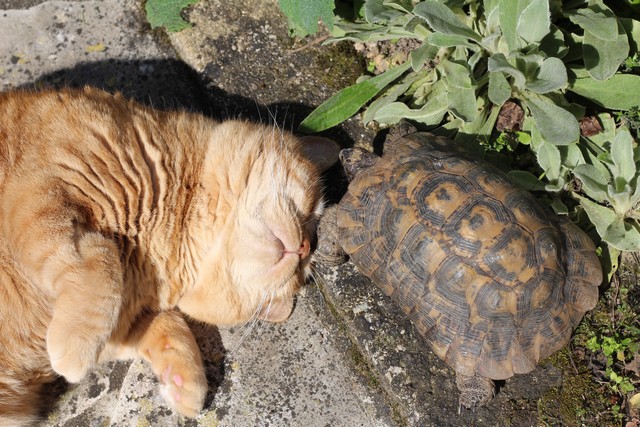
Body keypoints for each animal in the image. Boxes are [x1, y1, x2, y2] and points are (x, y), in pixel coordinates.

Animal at [0, 86, 330, 424]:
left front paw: (184, 380)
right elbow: (101, 263)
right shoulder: (41, 195)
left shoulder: (126, 322)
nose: (305, 248)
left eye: (301, 272)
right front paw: (74, 350)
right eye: (311, 215)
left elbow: (165, 324)